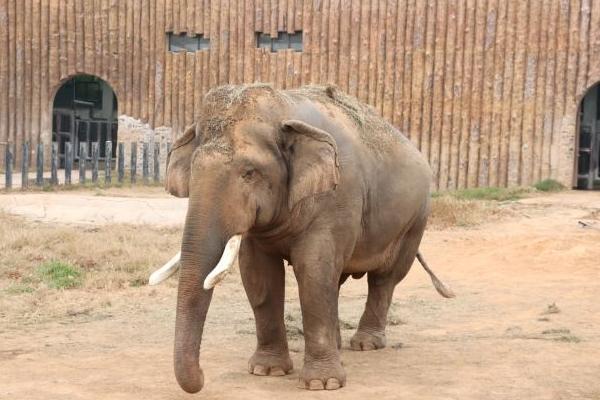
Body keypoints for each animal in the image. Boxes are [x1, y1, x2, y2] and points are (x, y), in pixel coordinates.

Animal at [150, 83, 454, 392]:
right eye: (193, 171)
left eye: (249, 173)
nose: (202, 377)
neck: (285, 108)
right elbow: (259, 276)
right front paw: (266, 370)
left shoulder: (336, 198)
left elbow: (313, 271)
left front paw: (323, 383)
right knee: (338, 280)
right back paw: (339, 344)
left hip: (415, 220)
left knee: (385, 278)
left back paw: (366, 344)